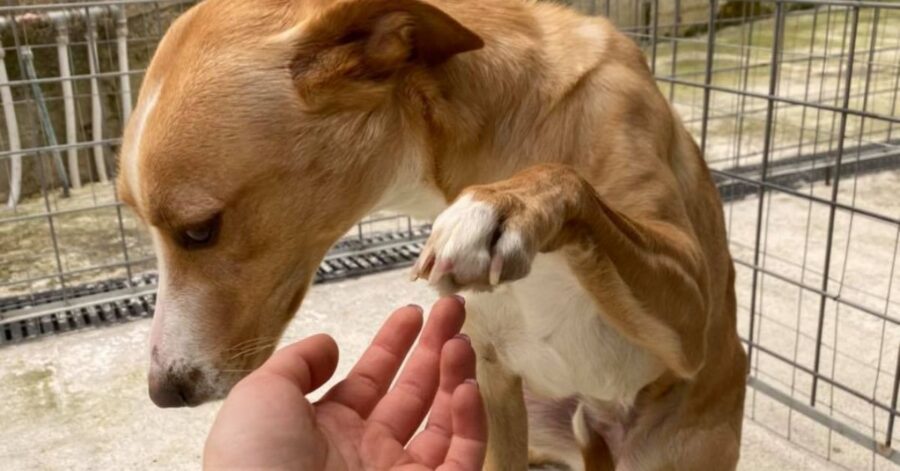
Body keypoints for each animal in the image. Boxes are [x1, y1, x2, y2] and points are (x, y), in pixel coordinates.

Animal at [116, 0, 748, 470]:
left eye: (199, 231)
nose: (163, 392)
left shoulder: (692, 316)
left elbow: (569, 181)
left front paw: (503, 208)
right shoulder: (495, 381)